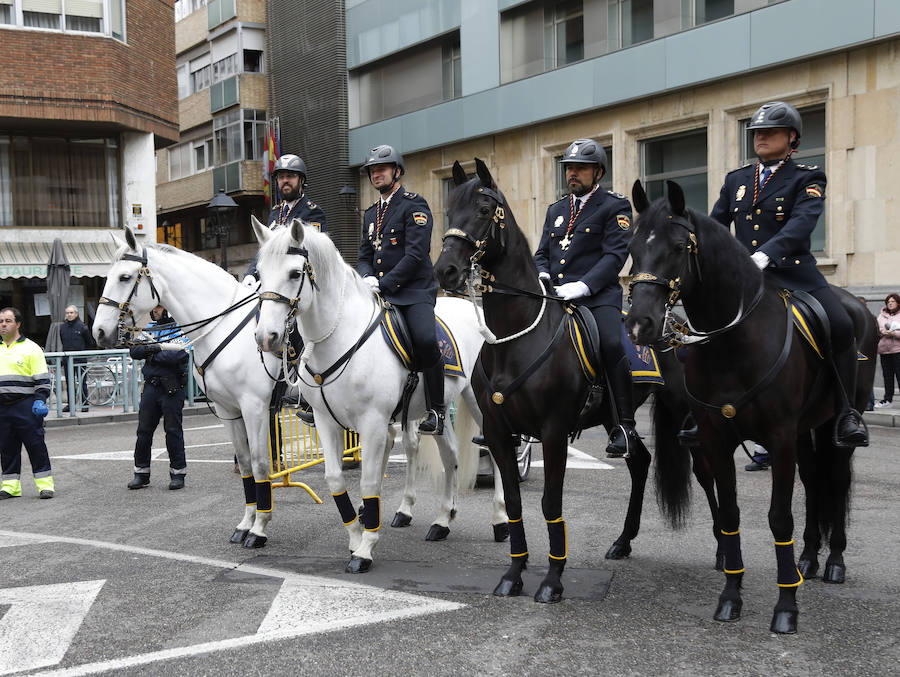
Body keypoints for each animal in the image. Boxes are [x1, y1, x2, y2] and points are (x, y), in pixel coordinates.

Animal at [253, 219, 506, 572]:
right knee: (451, 454)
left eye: (293, 273)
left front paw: (366, 547)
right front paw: (355, 536)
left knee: (496, 451)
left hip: (478, 401)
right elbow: (335, 479)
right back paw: (442, 520)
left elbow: (370, 483)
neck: (341, 335)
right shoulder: (327, 421)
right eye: (260, 273)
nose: (266, 337)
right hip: (438, 409)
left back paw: (500, 520)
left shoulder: (372, 423)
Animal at [432, 158, 720, 604]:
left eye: (482, 210)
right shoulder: (498, 433)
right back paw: (623, 541)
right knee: (640, 461)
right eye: (448, 212)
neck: (516, 338)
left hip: (688, 415)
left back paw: (724, 552)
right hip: (615, 417)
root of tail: (676, 325)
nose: (445, 270)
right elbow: (513, 502)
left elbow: (551, 504)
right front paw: (513, 574)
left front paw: (552, 580)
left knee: (705, 472)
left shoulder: (553, 432)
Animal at [624, 180, 876, 632]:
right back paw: (808, 558)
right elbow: (729, 514)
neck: (733, 342)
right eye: (632, 247)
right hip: (805, 430)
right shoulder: (716, 438)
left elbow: (779, 517)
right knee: (814, 481)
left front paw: (786, 605)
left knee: (837, 478)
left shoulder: (778, 438)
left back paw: (834, 560)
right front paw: (730, 595)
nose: (639, 324)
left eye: (677, 247)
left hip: (837, 422)